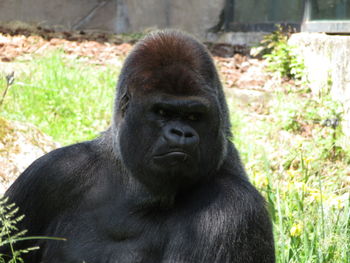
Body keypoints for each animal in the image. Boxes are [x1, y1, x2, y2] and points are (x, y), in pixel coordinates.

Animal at [2, 30, 276, 262]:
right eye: (162, 112)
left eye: (194, 116)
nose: (182, 133)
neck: (135, 188)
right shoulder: (51, 173)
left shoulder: (234, 208)